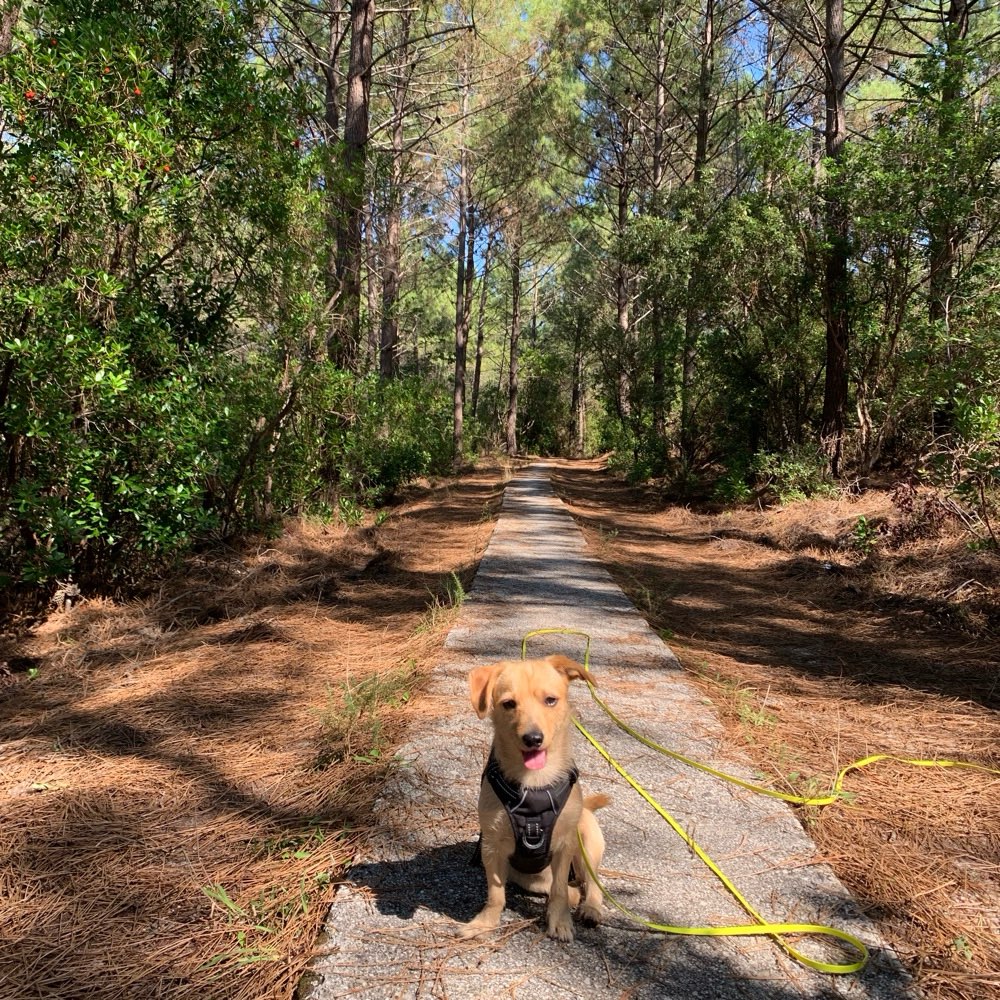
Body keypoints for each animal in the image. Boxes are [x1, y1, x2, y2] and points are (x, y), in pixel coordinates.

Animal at [460, 652, 608, 940]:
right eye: (508, 704)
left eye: (550, 700)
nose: (533, 738)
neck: (534, 785)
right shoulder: (491, 847)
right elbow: (496, 895)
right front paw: (486, 923)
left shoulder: (564, 846)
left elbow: (559, 892)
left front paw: (559, 922)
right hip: (530, 878)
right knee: (572, 890)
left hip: (588, 841)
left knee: (592, 884)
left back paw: (591, 909)